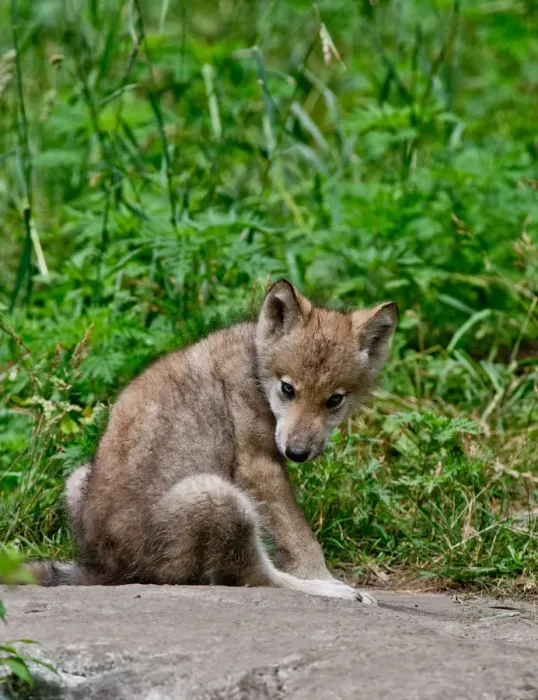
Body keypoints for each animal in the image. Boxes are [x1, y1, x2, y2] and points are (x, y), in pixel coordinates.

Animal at [28, 280, 398, 604]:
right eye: (288, 389)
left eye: (334, 400)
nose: (297, 453)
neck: (254, 365)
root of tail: (103, 569)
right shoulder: (259, 468)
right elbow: (303, 541)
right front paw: (330, 581)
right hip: (219, 495)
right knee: (257, 577)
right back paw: (335, 591)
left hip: (78, 477)